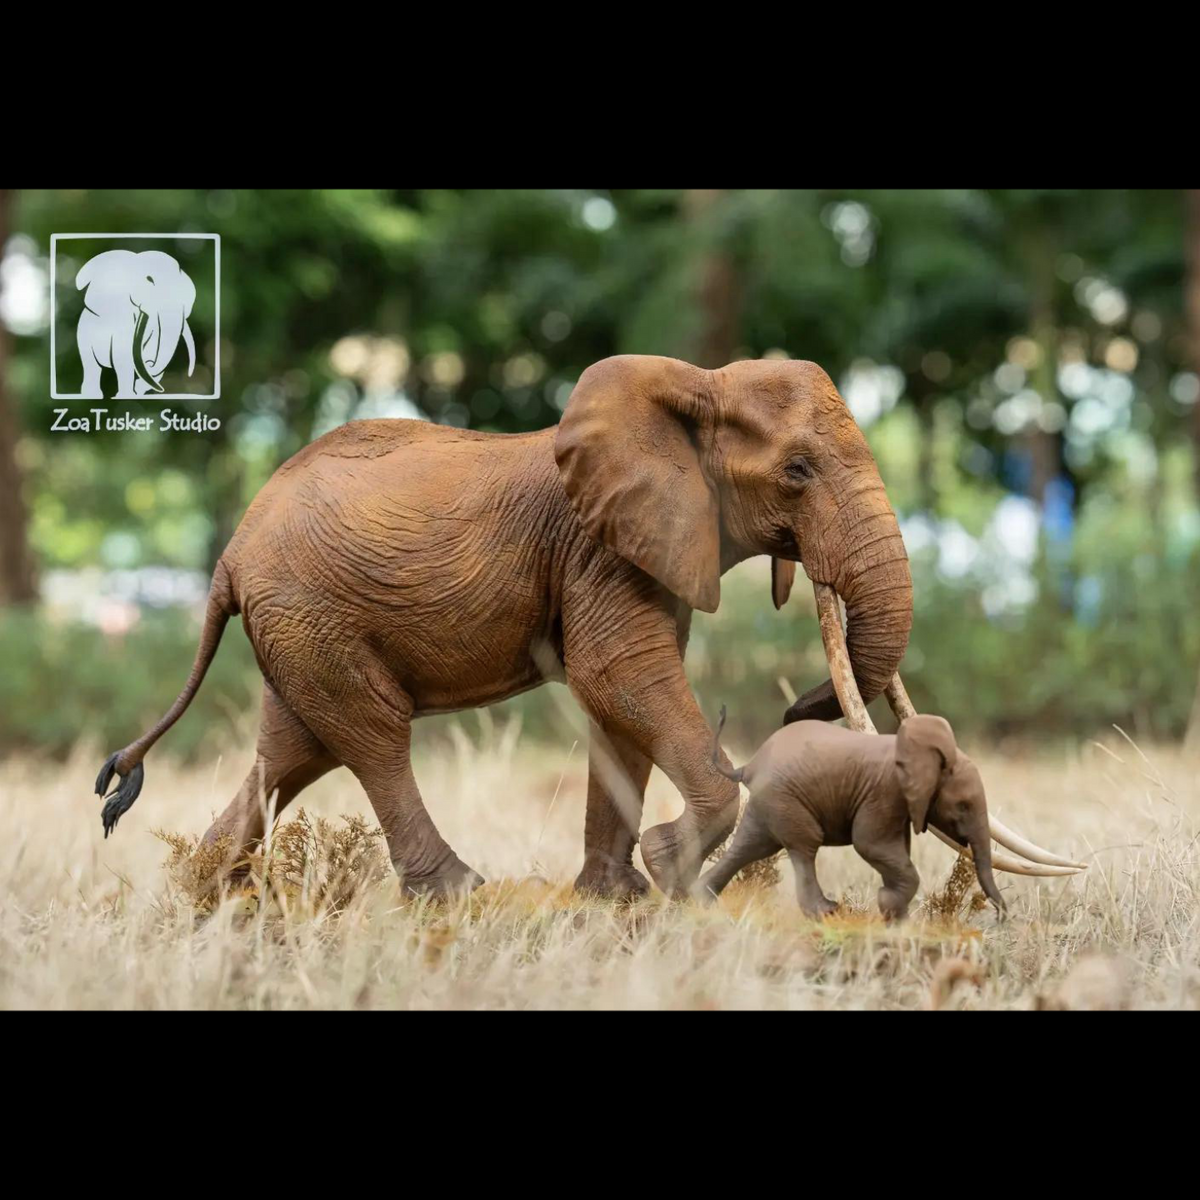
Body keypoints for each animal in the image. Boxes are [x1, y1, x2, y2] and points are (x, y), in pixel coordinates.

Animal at [93, 353, 921, 899]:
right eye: (798, 472)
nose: (794, 707)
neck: (698, 383)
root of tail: (230, 555)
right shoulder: (598, 547)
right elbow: (618, 675)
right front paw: (669, 868)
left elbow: (617, 705)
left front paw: (613, 897)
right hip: (310, 613)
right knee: (372, 734)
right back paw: (461, 893)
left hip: (296, 625)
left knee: (296, 748)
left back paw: (206, 900)